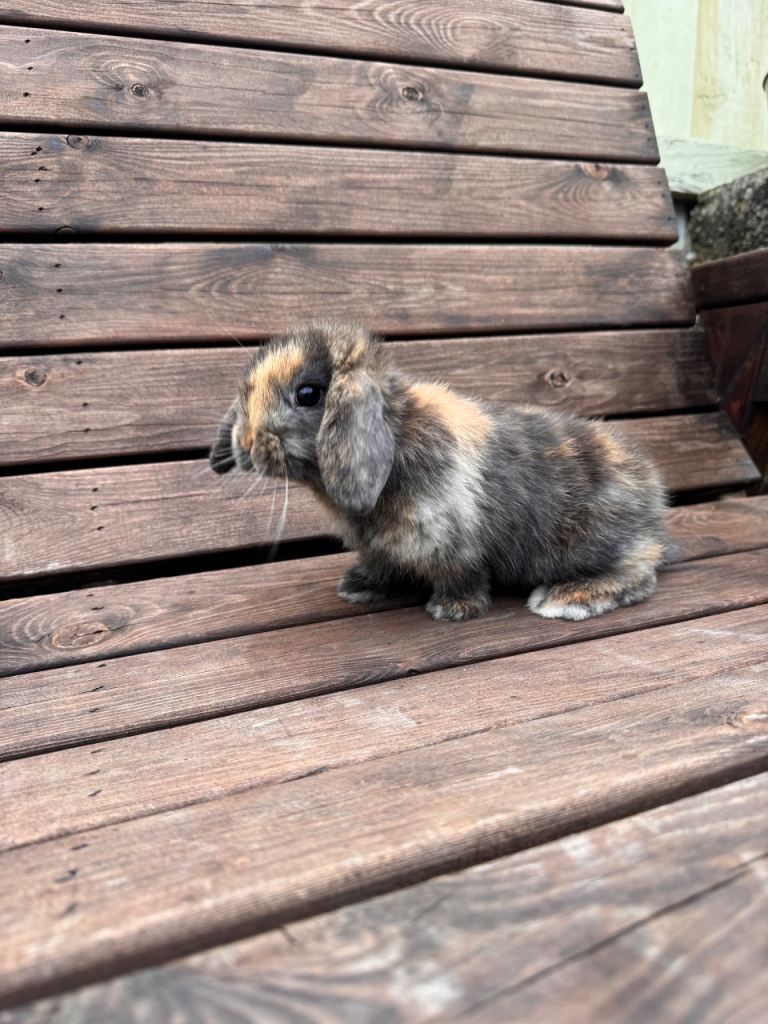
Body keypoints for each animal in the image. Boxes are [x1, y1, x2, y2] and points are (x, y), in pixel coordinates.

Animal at [210, 320, 670, 622]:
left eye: (308, 394)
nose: (244, 442)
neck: (397, 433)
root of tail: (654, 501)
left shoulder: (451, 536)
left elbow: (461, 573)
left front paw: (452, 610)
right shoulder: (378, 545)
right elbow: (379, 563)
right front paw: (358, 587)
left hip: (590, 544)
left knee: (642, 569)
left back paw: (565, 599)